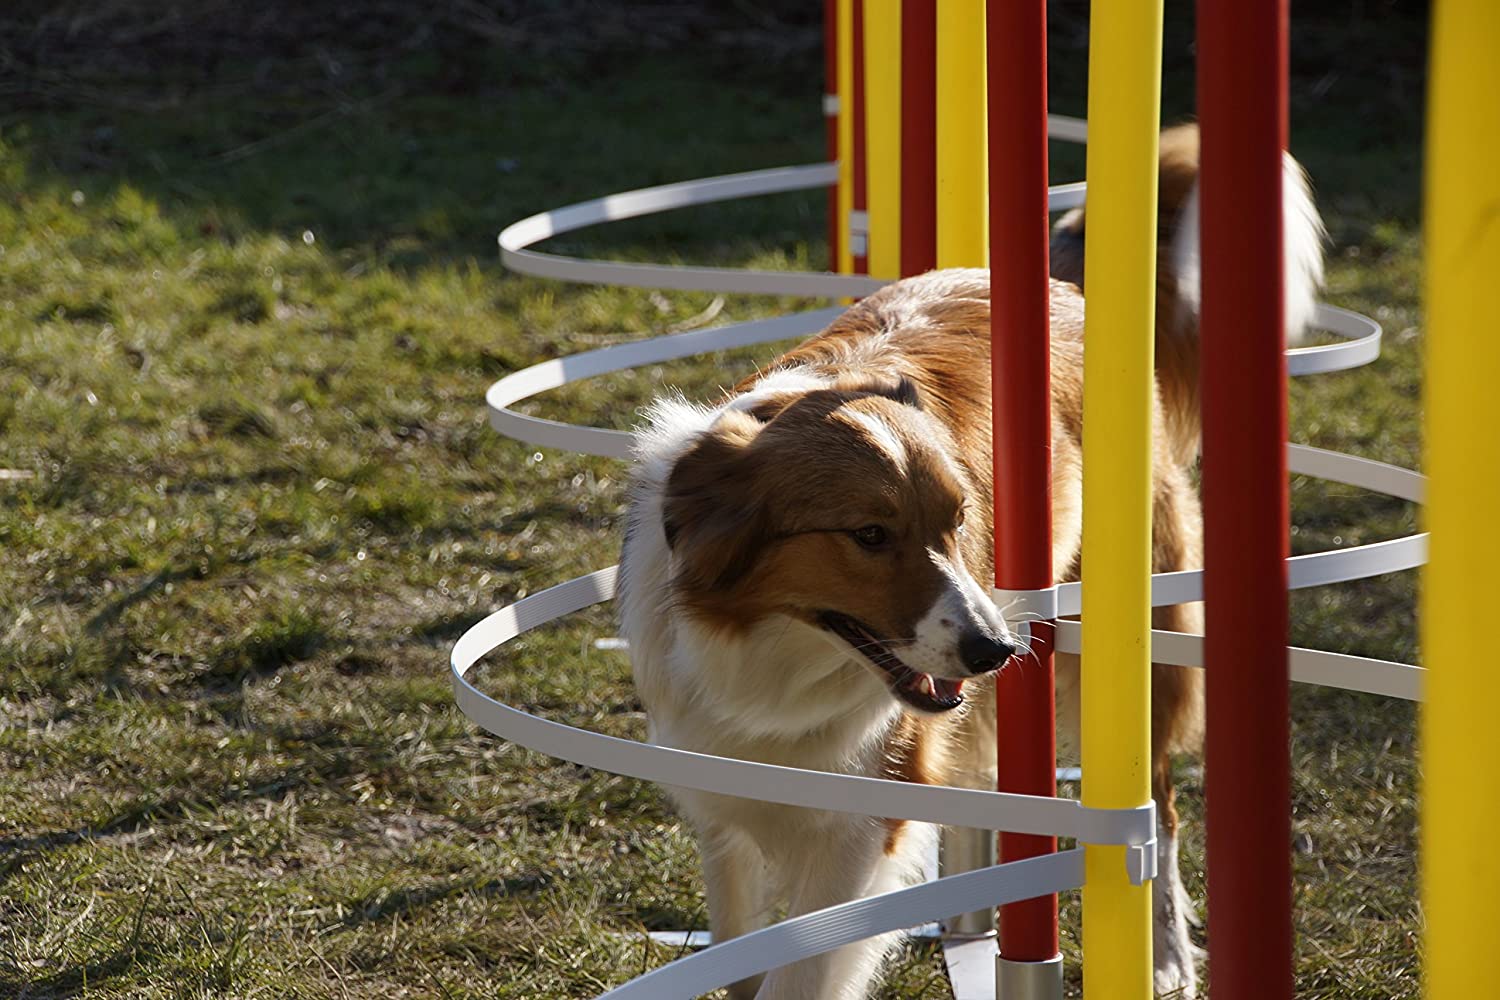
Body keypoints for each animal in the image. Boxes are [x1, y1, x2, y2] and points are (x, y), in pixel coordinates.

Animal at [618, 127, 1326, 1000]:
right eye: (870, 535)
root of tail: (1056, 281)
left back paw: (1163, 955)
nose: (996, 651)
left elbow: (802, 971)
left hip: (1140, 657)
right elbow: (742, 953)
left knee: (1158, 811)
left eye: (957, 524)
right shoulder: (728, 805)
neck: (769, 655)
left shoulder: (865, 819)